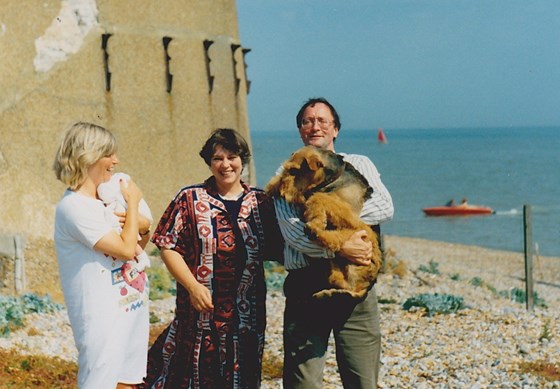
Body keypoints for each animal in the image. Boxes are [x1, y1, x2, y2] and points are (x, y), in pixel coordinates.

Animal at [266, 144, 380, 298]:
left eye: (294, 170)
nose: (279, 192)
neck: (334, 177)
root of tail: (366, 287)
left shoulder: (346, 209)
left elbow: (318, 197)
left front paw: (317, 219)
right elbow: (314, 200)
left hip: (361, 232)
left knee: (336, 240)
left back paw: (314, 230)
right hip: (335, 269)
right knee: (340, 282)